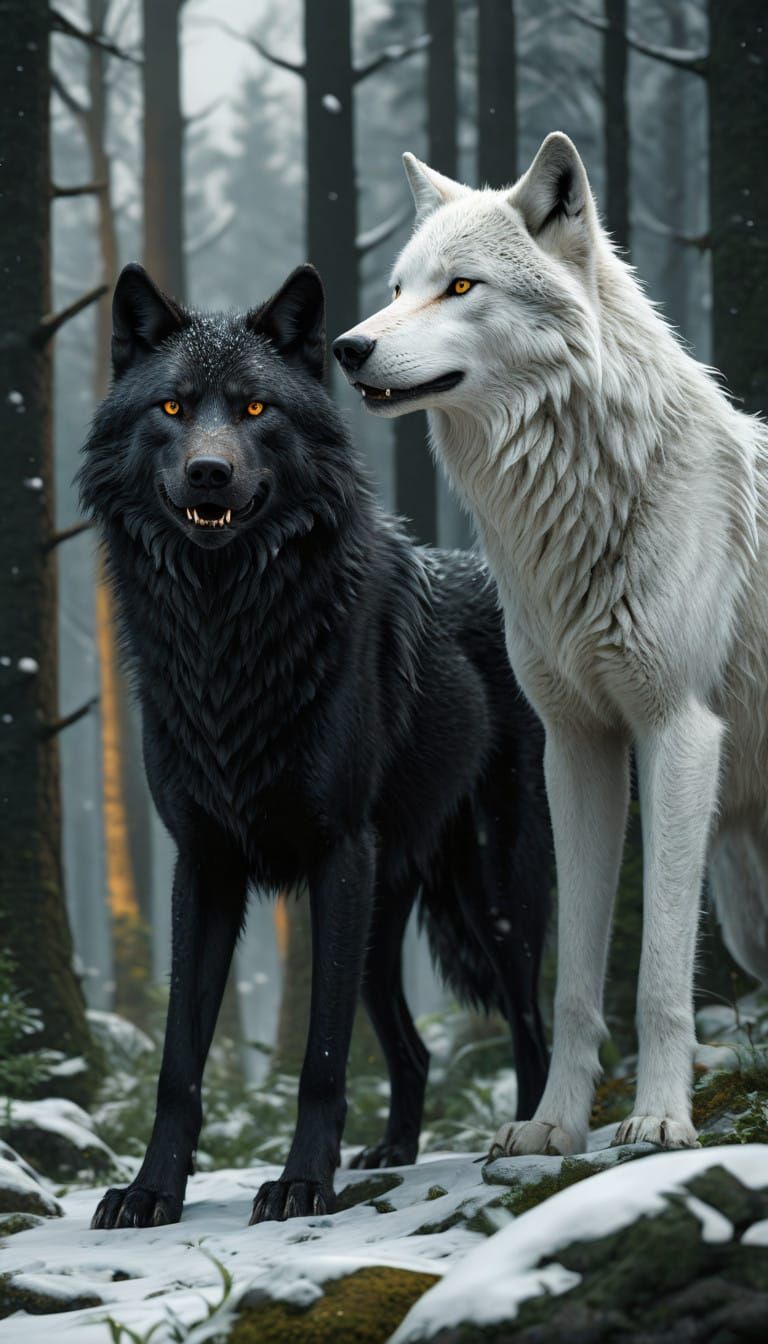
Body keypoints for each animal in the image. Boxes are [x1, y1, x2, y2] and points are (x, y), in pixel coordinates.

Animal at [81, 262, 551, 1227]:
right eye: (173, 408)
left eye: (257, 409)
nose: (210, 472)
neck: (224, 631)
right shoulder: (204, 864)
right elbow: (179, 1063)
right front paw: (151, 1192)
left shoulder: (337, 854)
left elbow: (322, 1059)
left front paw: (301, 1184)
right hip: (382, 917)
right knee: (412, 1049)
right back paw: (392, 1153)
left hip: (493, 898)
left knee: (534, 1028)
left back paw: (524, 1142)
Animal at [334, 133, 768, 1158]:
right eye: (400, 286)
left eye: (461, 287)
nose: (347, 346)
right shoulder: (576, 746)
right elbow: (571, 982)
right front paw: (550, 1127)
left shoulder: (676, 733)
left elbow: (658, 976)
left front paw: (657, 1119)